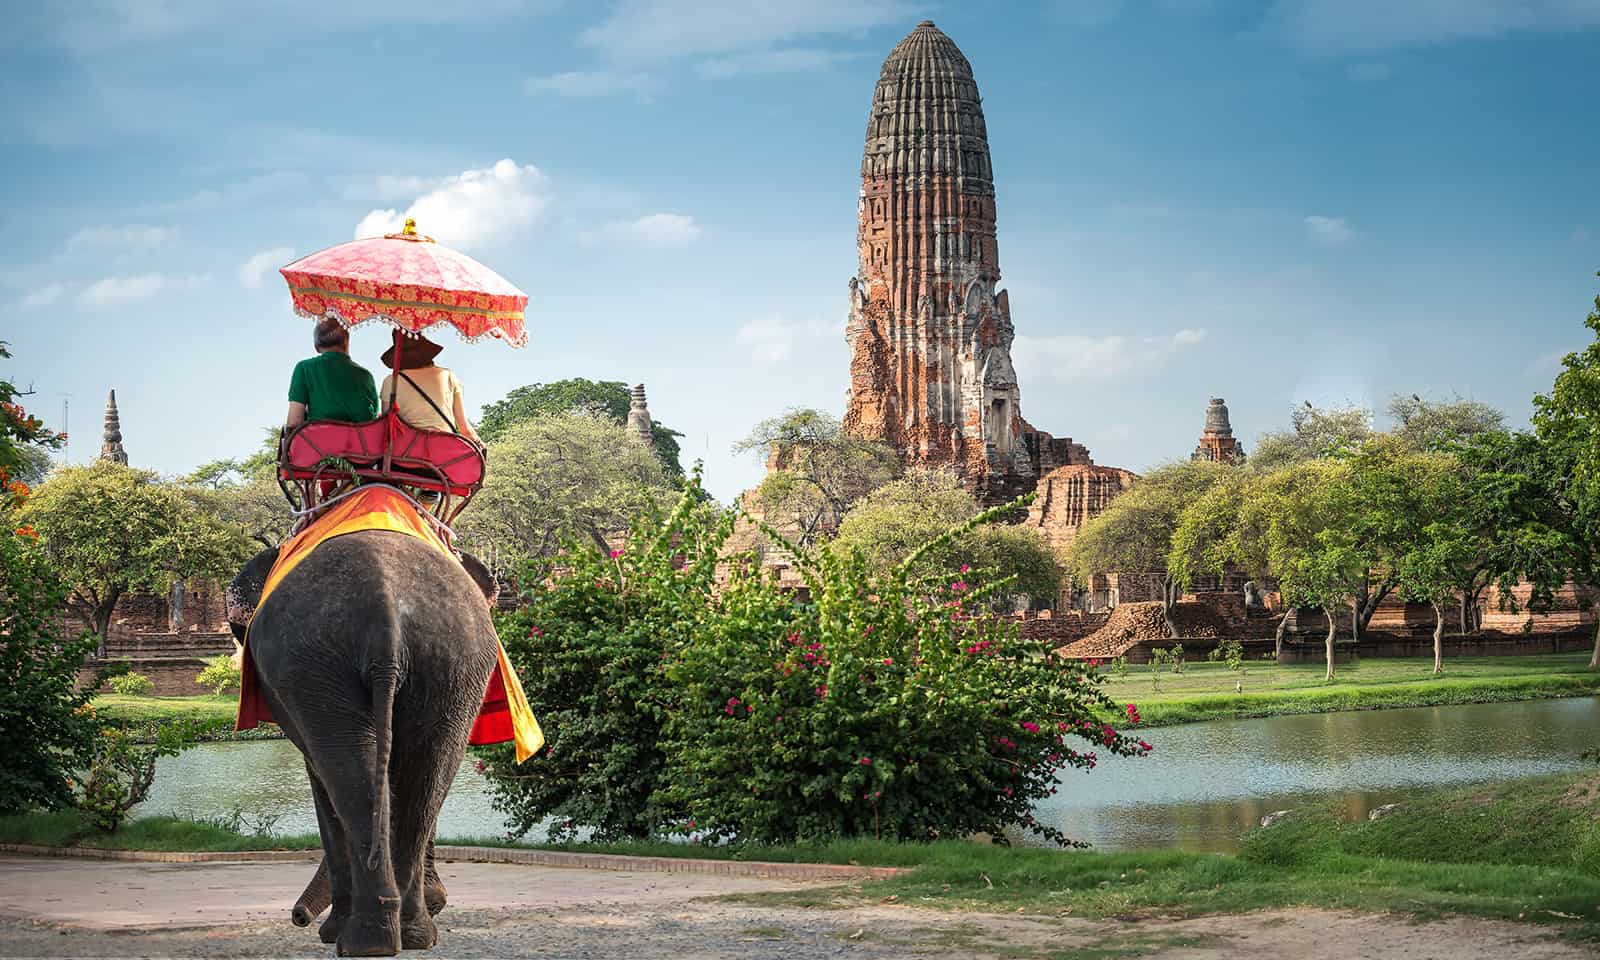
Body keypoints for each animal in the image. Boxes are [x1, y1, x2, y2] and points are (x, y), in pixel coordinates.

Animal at [228, 537, 502, 953]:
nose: (298, 917)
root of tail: (384, 607)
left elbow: (321, 778)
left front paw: (330, 932)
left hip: (316, 662)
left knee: (347, 770)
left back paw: (363, 939)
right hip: (451, 661)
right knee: (423, 768)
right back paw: (407, 934)